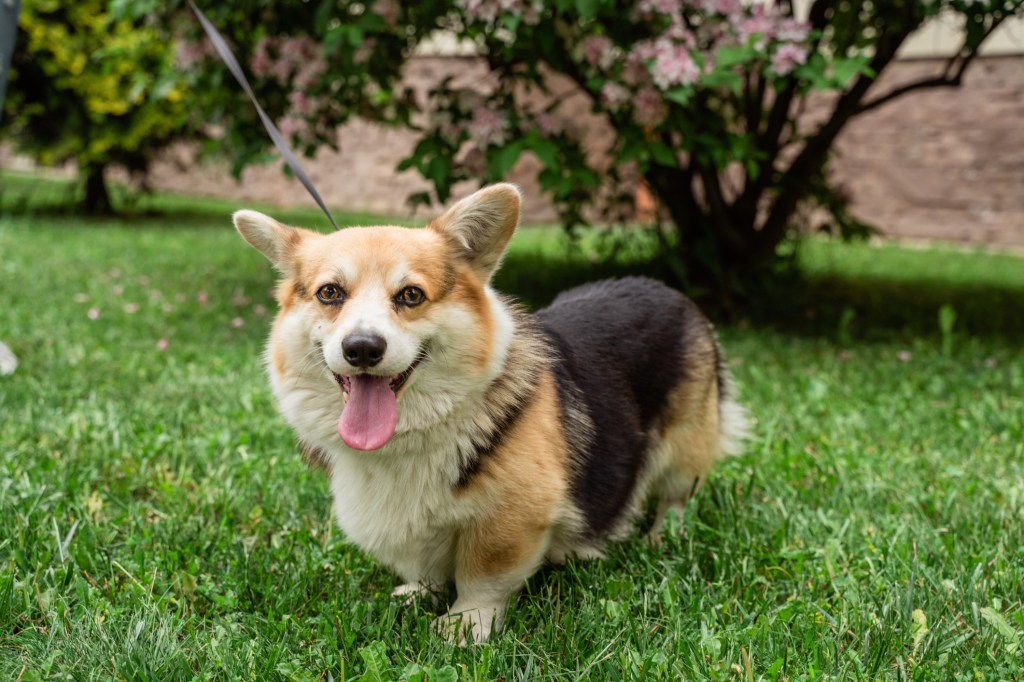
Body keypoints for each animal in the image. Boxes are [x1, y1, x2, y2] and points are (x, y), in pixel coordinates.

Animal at [232, 183, 749, 638]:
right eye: (330, 293)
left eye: (411, 295)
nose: (361, 348)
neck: (412, 437)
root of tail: (669, 291)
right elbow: (425, 567)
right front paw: (417, 594)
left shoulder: (510, 521)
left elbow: (483, 580)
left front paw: (464, 629)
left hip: (685, 448)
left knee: (675, 497)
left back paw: (662, 537)